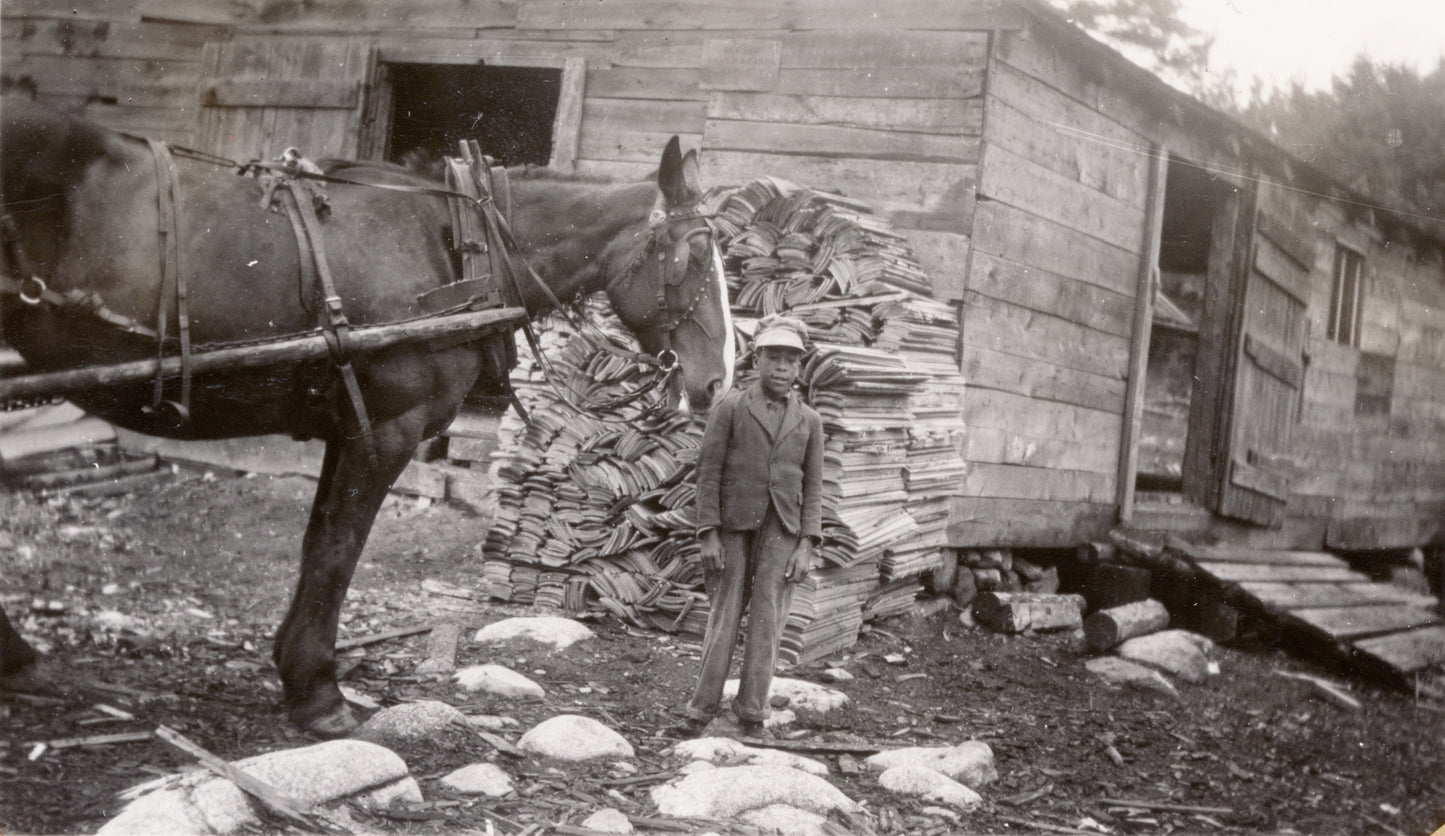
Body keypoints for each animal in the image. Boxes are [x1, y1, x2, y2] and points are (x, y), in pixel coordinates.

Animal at [0, 99, 734, 739]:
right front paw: (318, 693)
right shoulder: (387, 430)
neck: (455, 247)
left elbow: (317, 545)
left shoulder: (348, 429)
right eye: (696, 254)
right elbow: (337, 553)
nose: (717, 381)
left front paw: (300, 674)